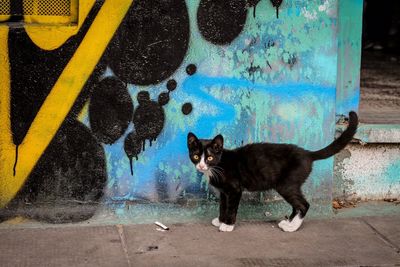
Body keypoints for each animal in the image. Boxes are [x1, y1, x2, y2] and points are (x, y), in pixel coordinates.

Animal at [188, 112, 360, 233]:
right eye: (196, 156)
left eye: (209, 157)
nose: (201, 166)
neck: (219, 165)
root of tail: (307, 153)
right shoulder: (224, 192)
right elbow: (223, 206)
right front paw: (220, 220)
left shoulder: (235, 189)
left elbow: (231, 207)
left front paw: (227, 225)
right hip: (291, 185)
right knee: (297, 205)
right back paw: (289, 222)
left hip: (287, 184)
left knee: (303, 204)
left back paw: (292, 227)